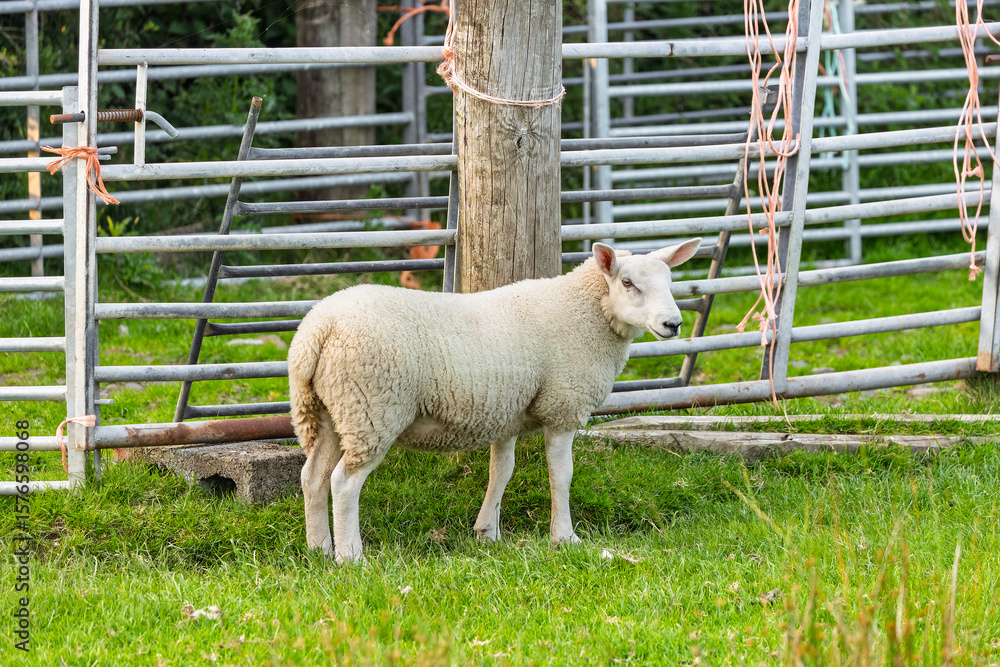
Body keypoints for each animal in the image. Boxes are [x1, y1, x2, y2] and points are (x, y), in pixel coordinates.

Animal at [288, 238, 702, 563]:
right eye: (628, 283)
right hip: (372, 409)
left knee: (313, 477)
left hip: (330, 410)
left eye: (670, 282)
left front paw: (487, 532)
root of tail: (317, 330)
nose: (673, 324)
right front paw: (565, 538)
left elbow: (501, 471)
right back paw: (350, 557)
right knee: (344, 482)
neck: (586, 313)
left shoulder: (506, 414)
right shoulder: (563, 406)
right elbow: (561, 475)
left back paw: (318, 549)